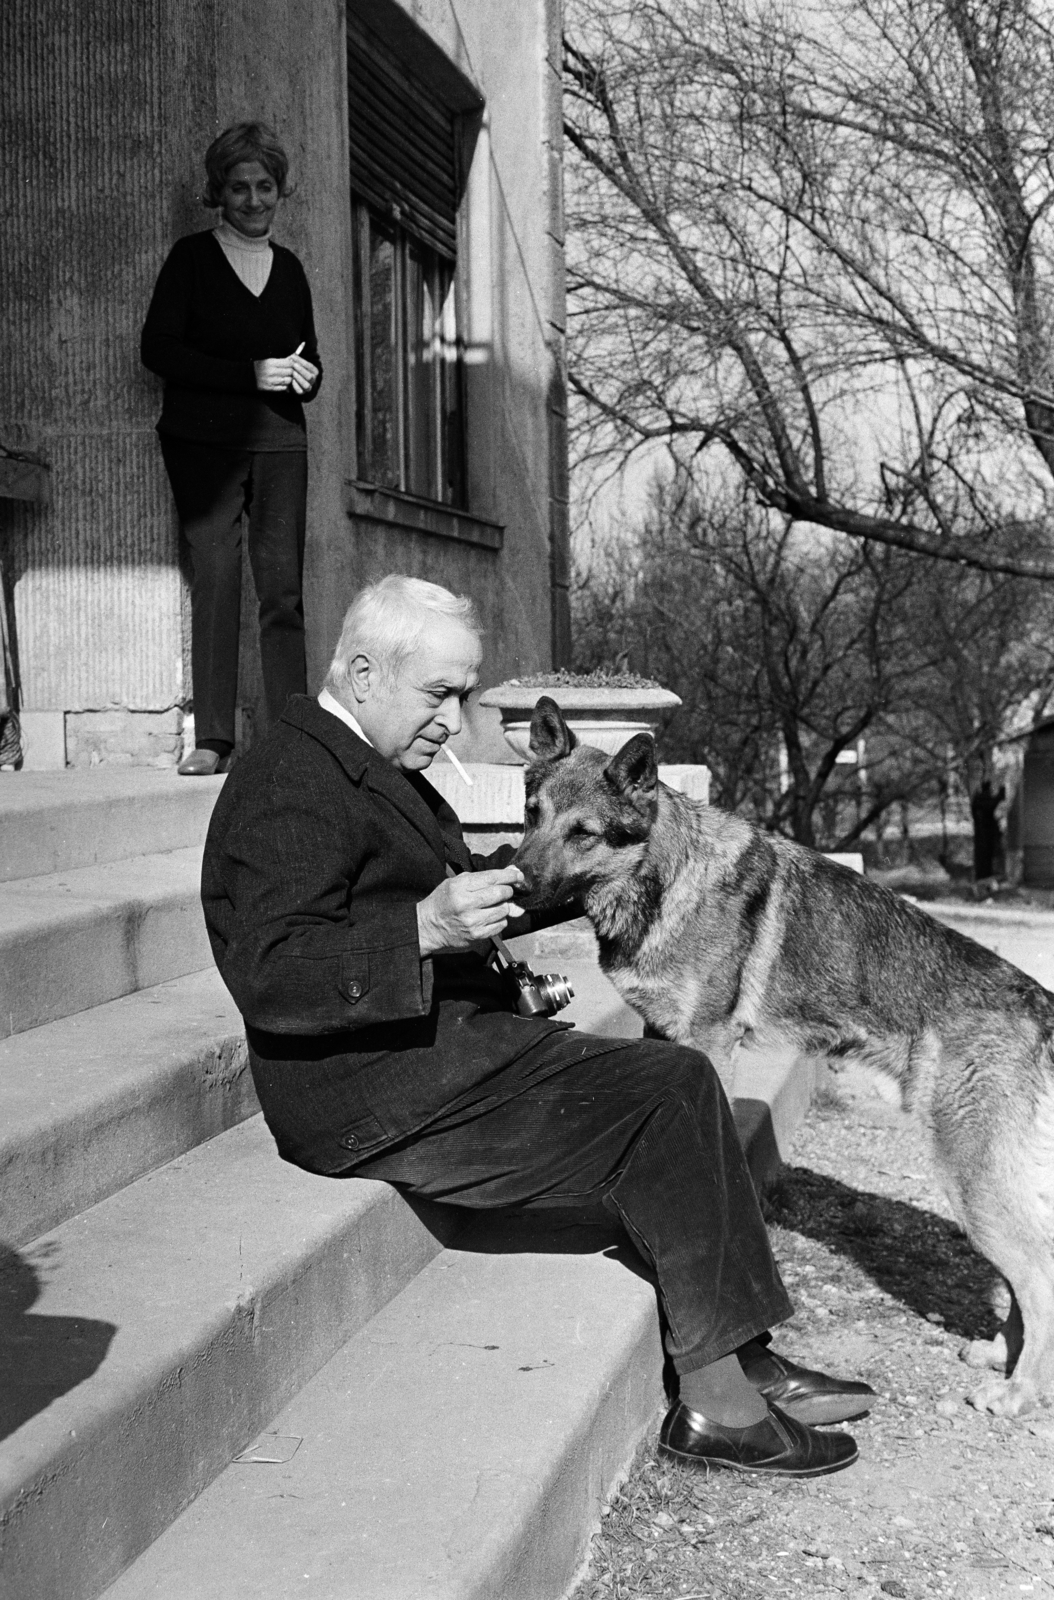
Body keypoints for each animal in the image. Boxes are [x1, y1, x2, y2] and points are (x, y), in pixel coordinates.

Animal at [515, 697, 1054, 1414]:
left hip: (970, 1181)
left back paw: (1019, 1392)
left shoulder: (710, 1042)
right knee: (1027, 1278)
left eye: (584, 833)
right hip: (981, 1186)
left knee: (1039, 1277)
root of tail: (1039, 1000)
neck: (665, 879)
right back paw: (1000, 1356)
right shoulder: (662, 1035)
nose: (516, 883)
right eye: (532, 814)